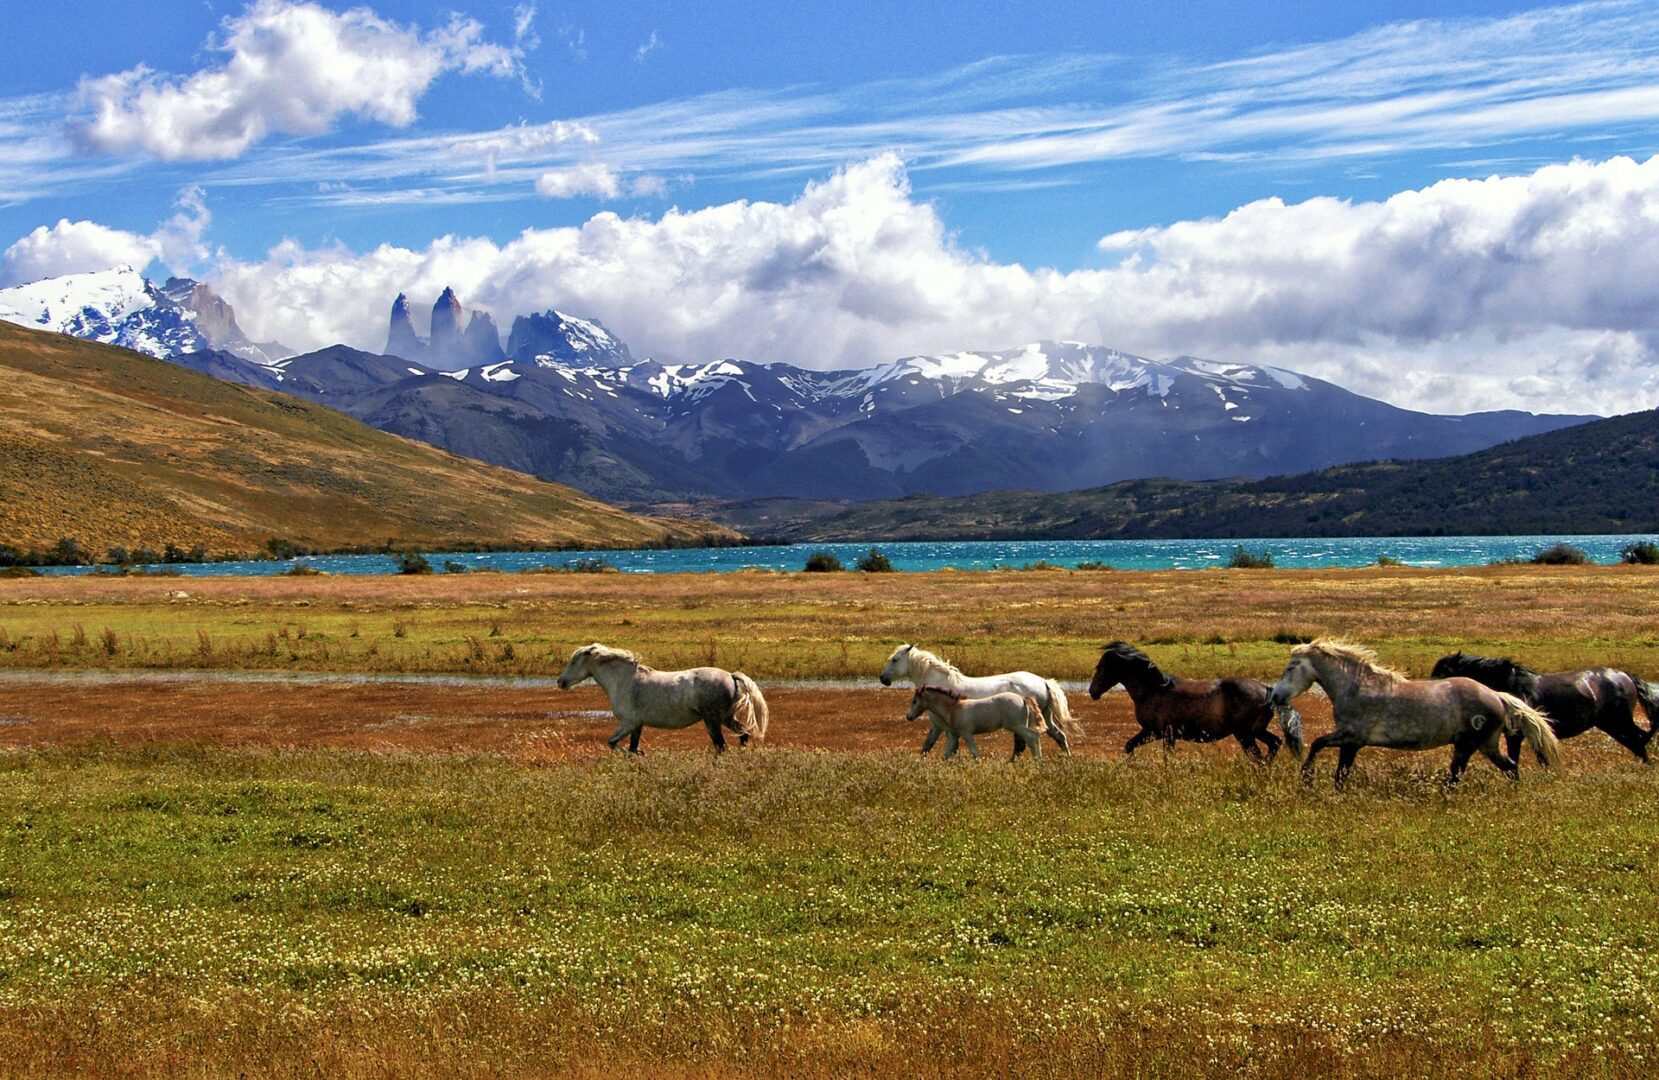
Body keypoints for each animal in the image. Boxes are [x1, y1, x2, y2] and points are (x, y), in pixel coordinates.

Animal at [554, 647, 766, 756]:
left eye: (574, 661)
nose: (560, 682)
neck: (624, 680)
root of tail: (731, 676)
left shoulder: (629, 723)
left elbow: (613, 743)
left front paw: (640, 753)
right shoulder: (637, 725)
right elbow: (631, 747)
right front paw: (639, 754)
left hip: (712, 721)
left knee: (721, 746)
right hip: (726, 718)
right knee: (743, 733)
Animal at [875, 643, 1081, 753]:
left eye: (894, 660)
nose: (883, 678)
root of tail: (1043, 682)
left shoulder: (939, 725)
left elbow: (935, 747)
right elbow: (929, 747)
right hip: (1045, 716)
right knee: (1058, 736)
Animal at [1094, 643, 1300, 759]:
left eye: (1101, 667)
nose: (1092, 691)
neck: (1153, 690)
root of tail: (1268, 690)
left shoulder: (1160, 733)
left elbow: (1164, 757)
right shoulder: (1156, 733)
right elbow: (1130, 746)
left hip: (1245, 735)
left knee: (1258, 756)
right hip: (1256, 731)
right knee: (1274, 744)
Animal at [1426, 653, 1659, 763]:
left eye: (1443, 673)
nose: (1430, 693)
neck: (1509, 685)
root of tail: (1625, 676)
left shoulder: (1515, 735)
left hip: (1618, 722)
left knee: (1638, 740)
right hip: (1611, 724)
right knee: (1638, 741)